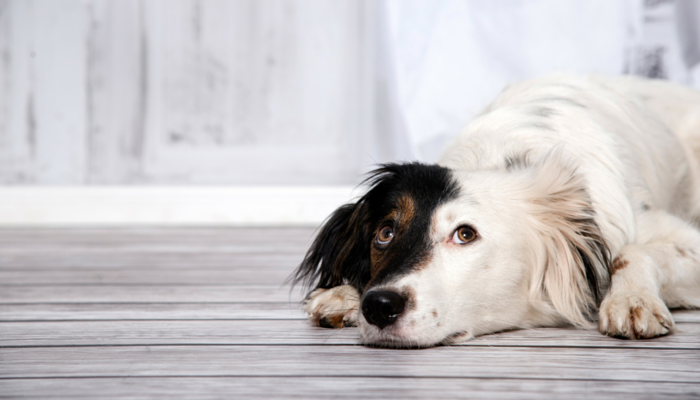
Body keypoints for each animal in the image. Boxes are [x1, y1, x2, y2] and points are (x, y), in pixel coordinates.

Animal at [292, 75, 700, 346]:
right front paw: (343, 294)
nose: (378, 306)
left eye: (465, 234)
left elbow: (631, 252)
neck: (501, 155)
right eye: (385, 233)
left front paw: (632, 299)